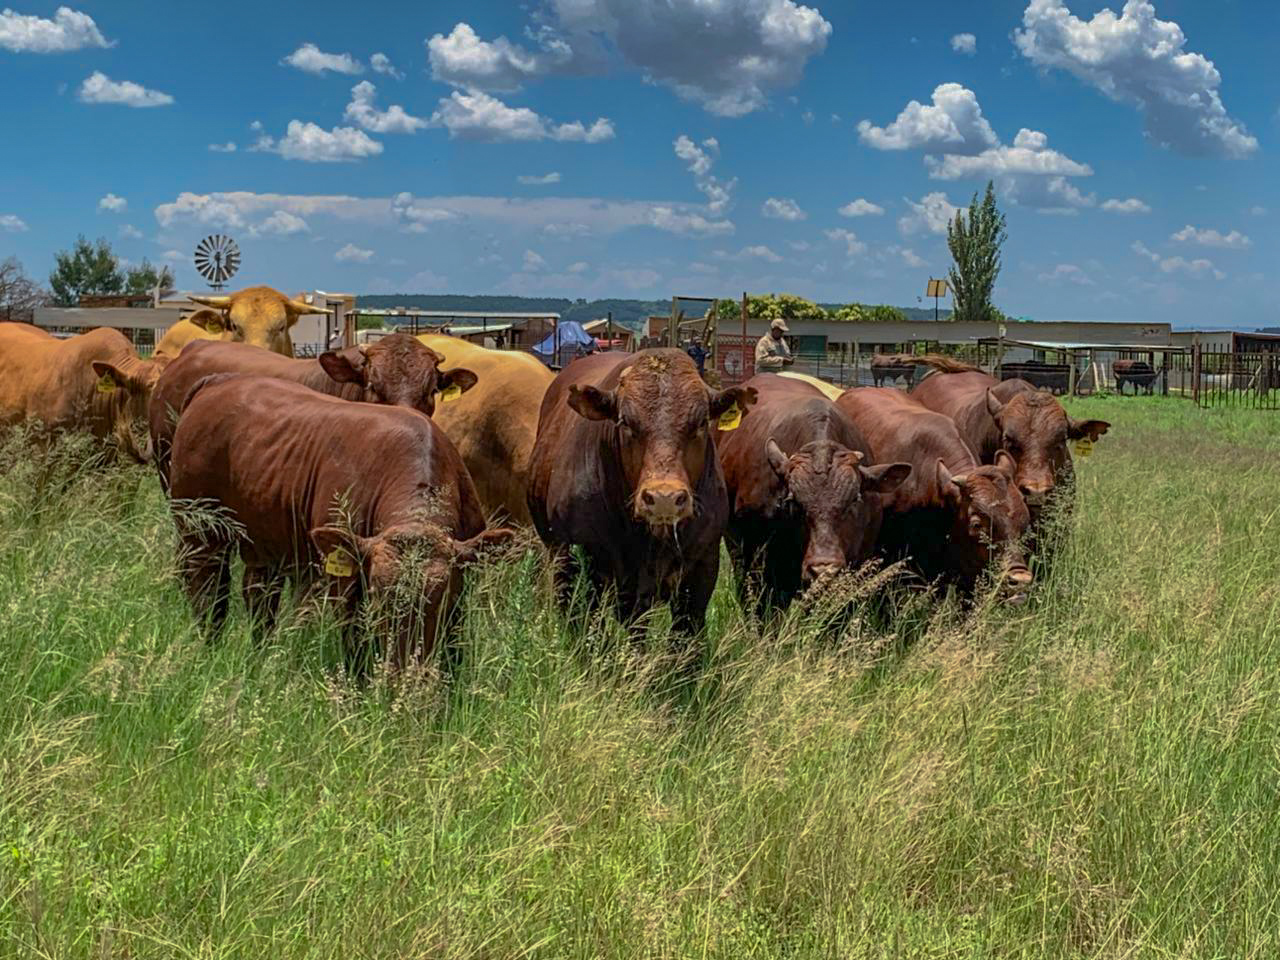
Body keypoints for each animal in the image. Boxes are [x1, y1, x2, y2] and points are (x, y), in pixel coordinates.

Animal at [169, 374, 512, 667]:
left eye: (440, 601)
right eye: (378, 598)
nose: (403, 666)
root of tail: (218, 381)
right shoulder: (346, 585)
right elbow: (356, 648)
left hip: (263, 545)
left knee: (258, 597)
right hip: (199, 530)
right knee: (207, 593)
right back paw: (209, 651)